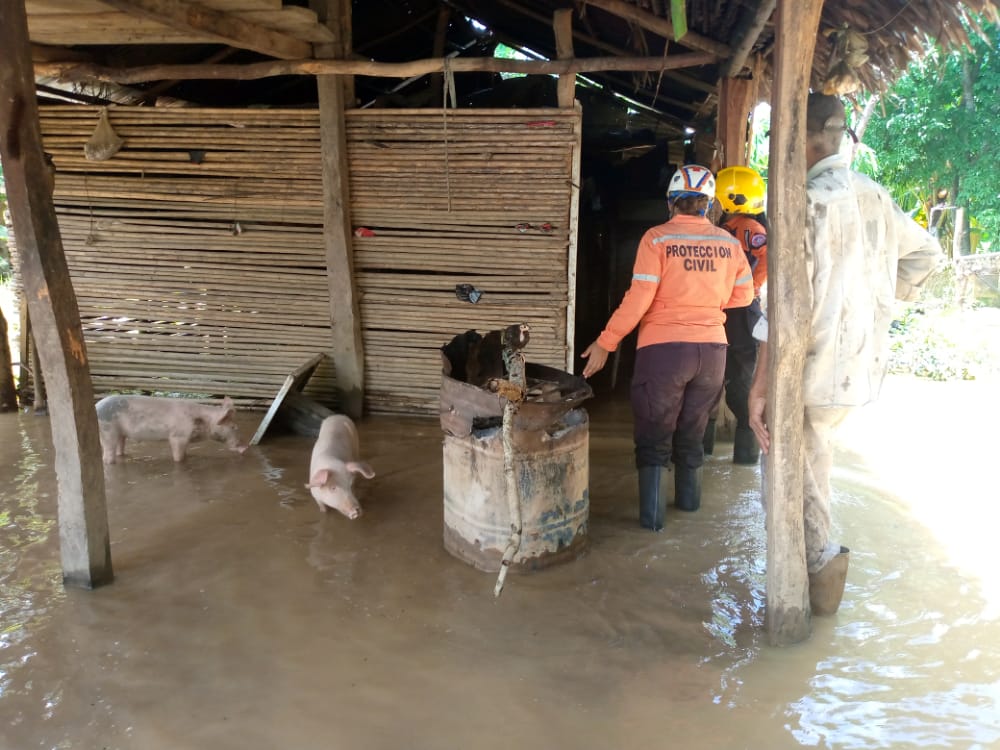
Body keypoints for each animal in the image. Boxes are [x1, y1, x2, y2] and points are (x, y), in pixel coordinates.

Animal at [94, 396, 248, 468]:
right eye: (234, 427)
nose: (245, 447)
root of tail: (96, 406)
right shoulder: (177, 436)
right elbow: (178, 457)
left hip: (120, 434)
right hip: (107, 430)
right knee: (107, 454)